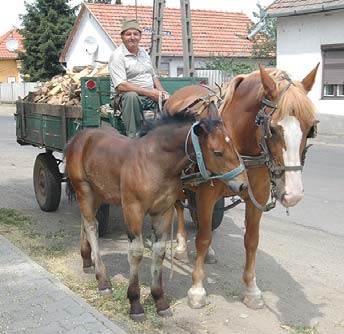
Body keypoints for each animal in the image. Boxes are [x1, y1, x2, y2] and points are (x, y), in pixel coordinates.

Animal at [65, 105, 247, 320]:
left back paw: (86, 260)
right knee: (92, 226)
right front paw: (135, 303)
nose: (243, 184)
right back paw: (103, 281)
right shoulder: (133, 210)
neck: (155, 162)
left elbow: (159, 251)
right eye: (218, 152)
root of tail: (79, 136)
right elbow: (136, 253)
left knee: (86, 222)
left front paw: (160, 301)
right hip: (83, 189)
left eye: (233, 145)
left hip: (99, 193)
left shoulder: (164, 211)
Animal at [165, 64, 320, 310]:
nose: (293, 195)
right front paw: (197, 289)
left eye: (309, 128)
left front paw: (251, 289)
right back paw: (180, 246)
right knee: (180, 207)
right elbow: (203, 237)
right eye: (273, 129)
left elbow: (251, 240)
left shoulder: (257, 196)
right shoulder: (207, 195)